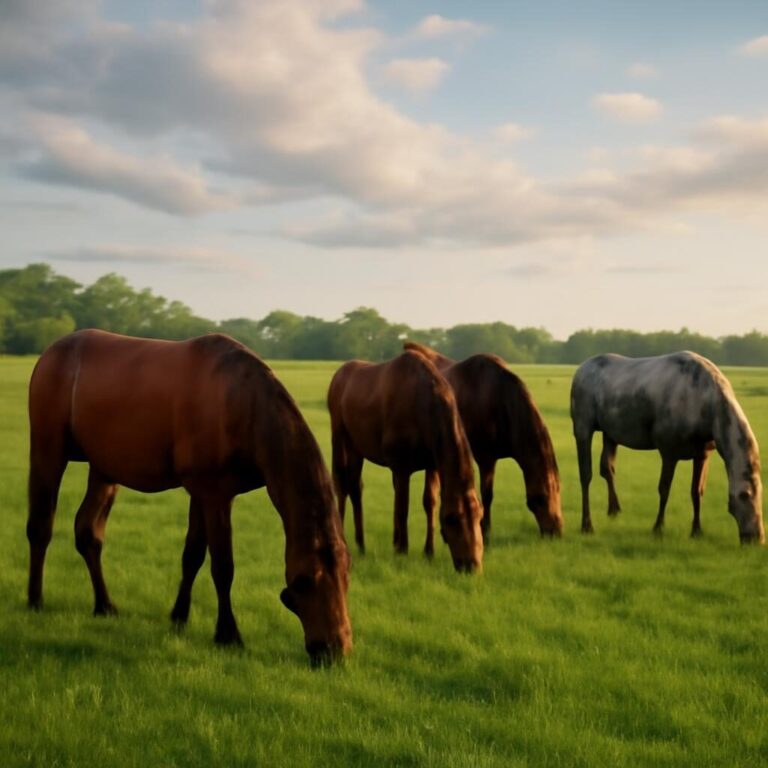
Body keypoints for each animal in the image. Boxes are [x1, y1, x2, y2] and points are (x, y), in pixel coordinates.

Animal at [27, 329, 352, 666]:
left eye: (347, 575)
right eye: (304, 581)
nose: (334, 650)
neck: (242, 404)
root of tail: (52, 351)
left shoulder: (204, 494)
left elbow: (192, 556)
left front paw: (179, 617)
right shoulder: (216, 494)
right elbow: (223, 567)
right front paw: (228, 634)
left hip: (103, 468)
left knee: (88, 533)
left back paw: (104, 605)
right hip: (48, 451)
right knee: (40, 527)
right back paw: (35, 599)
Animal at [327, 350, 484, 572]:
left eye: (480, 515)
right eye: (452, 518)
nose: (472, 565)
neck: (424, 409)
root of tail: (337, 376)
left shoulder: (432, 465)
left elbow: (430, 502)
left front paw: (428, 551)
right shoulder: (401, 466)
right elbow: (402, 508)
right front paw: (402, 550)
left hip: (357, 448)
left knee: (355, 487)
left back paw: (362, 544)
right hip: (339, 437)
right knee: (341, 483)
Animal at [403, 343, 562, 541]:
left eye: (559, 490)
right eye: (541, 497)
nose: (556, 531)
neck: (499, 399)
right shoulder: (486, 458)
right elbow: (487, 495)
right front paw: (485, 531)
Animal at [570, 351, 764, 543]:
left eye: (762, 495)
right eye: (745, 495)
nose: (757, 537)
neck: (707, 408)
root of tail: (579, 371)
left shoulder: (702, 454)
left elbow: (697, 491)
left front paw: (696, 530)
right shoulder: (669, 451)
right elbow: (664, 489)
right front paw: (658, 528)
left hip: (610, 433)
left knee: (607, 468)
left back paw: (614, 510)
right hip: (582, 428)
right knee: (585, 475)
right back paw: (587, 525)